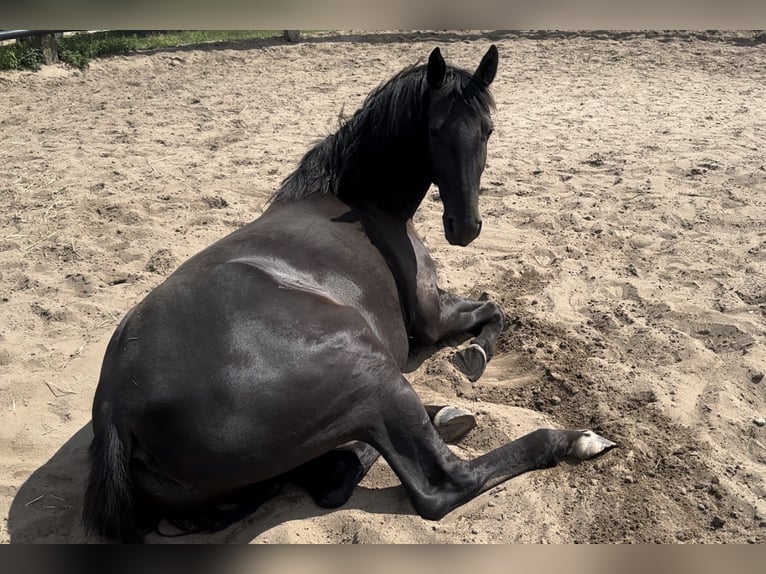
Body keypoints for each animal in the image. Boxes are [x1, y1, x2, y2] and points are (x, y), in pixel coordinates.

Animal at [82, 45, 615, 543]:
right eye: (434, 131)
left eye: (487, 128)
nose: (464, 228)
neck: (361, 203)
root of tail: (117, 408)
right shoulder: (432, 317)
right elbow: (494, 309)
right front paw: (475, 356)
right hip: (372, 374)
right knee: (436, 482)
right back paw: (571, 440)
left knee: (332, 472)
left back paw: (443, 416)